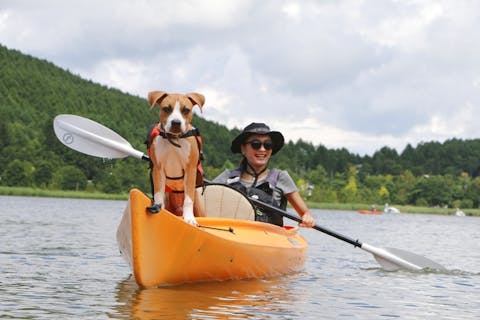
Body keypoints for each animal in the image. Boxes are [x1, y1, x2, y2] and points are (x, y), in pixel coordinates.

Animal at [146, 90, 206, 225]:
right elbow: (158, 195)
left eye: (186, 110)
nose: (176, 123)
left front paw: (189, 218)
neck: (173, 139)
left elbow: (188, 200)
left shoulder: (190, 169)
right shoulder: (158, 169)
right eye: (166, 108)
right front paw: (159, 210)